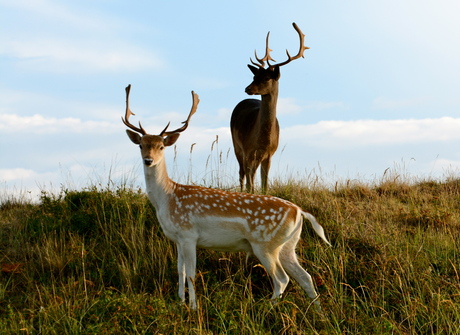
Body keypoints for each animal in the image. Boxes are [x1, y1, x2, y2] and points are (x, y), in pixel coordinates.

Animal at [123, 85, 330, 312]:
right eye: (141, 145)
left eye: (161, 146)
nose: (148, 160)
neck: (167, 198)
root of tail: (299, 211)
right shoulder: (177, 238)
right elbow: (180, 271)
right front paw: (180, 302)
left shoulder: (189, 234)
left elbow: (192, 274)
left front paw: (193, 307)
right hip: (287, 245)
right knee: (305, 277)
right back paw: (317, 312)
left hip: (265, 243)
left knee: (282, 279)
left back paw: (266, 308)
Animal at [230, 22, 310, 193]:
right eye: (254, 76)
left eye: (266, 78)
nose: (247, 88)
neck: (263, 140)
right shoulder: (248, 149)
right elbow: (250, 182)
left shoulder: (269, 154)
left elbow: (264, 184)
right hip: (236, 145)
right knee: (242, 174)